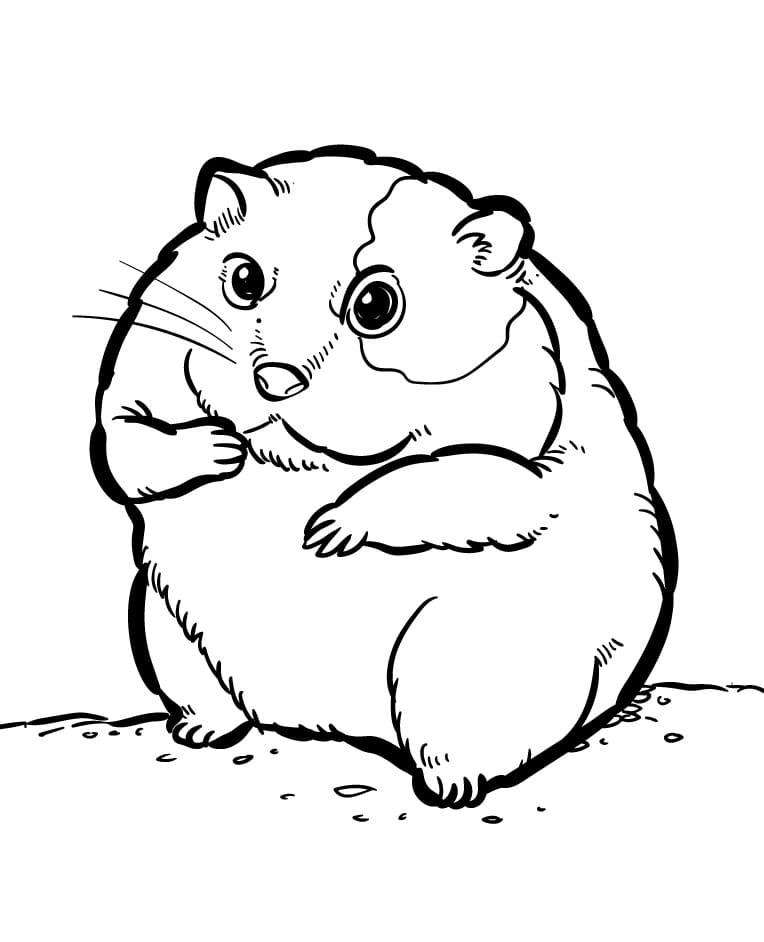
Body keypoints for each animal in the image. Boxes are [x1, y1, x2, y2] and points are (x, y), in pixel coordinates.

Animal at [91, 145, 677, 808]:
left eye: (375, 305)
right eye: (243, 280)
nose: (274, 381)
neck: (299, 458)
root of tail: (326, 722)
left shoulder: (520, 454)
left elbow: (448, 474)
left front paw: (325, 530)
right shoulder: (134, 373)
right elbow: (125, 443)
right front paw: (221, 446)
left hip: (459, 657)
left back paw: (447, 787)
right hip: (164, 627)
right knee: (210, 698)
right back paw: (200, 730)